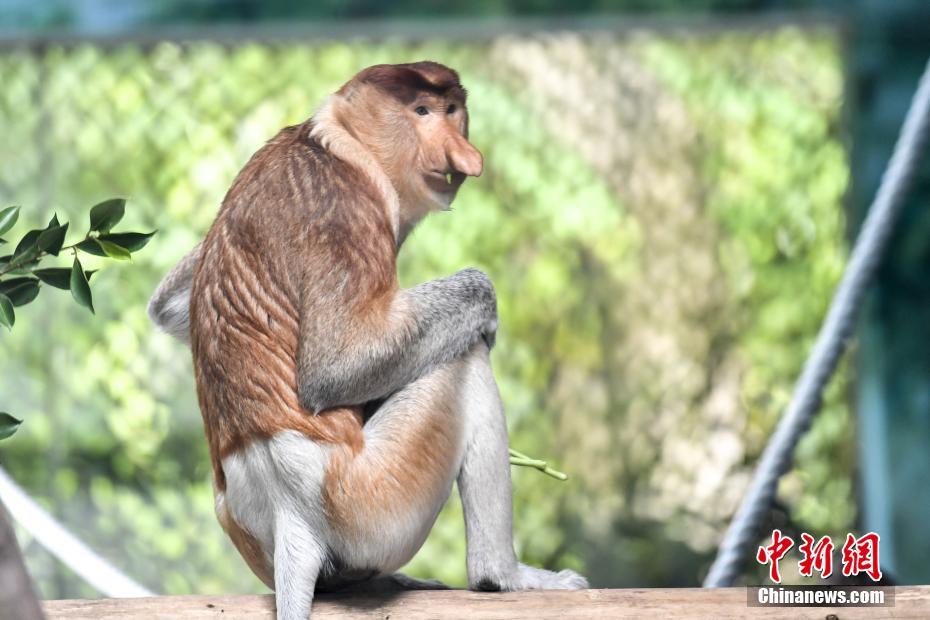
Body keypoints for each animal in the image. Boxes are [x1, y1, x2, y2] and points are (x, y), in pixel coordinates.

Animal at [150, 60, 588, 616]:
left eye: (452, 110)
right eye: (421, 112)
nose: (466, 158)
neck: (336, 139)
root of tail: (287, 513)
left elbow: (170, 306)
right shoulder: (344, 209)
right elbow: (335, 367)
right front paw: (484, 305)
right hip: (373, 500)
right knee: (462, 364)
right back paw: (503, 576)